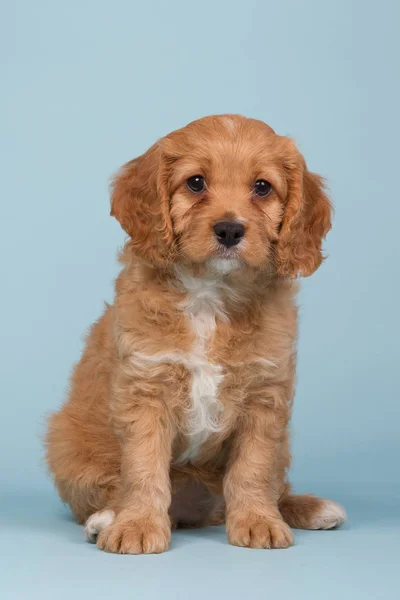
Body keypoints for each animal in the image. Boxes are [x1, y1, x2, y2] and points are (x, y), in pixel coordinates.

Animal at [45, 115, 346, 556]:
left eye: (262, 187)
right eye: (196, 183)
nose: (229, 230)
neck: (209, 293)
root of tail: (196, 514)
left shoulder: (265, 396)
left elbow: (253, 468)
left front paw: (258, 521)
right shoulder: (145, 389)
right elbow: (143, 467)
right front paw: (137, 525)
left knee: (276, 484)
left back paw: (307, 508)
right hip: (68, 445)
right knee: (105, 491)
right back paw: (105, 520)